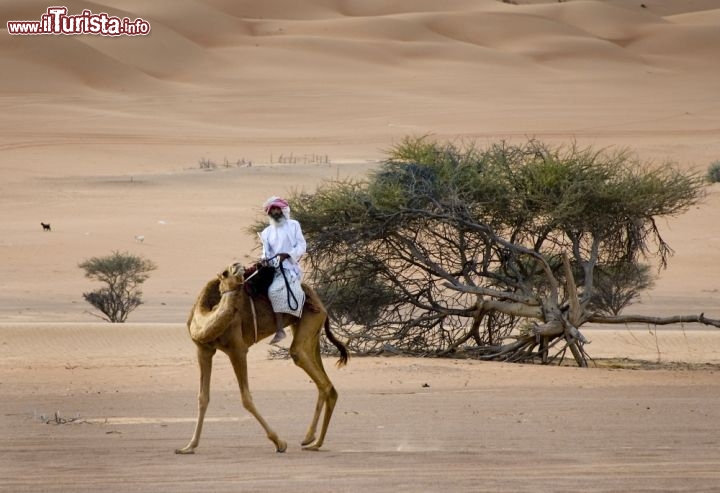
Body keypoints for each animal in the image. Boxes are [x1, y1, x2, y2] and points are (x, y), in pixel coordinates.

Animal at [176, 262, 348, 454]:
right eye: (225, 273)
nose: (238, 265)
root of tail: (320, 301)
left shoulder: (238, 349)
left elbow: (246, 399)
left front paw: (279, 443)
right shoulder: (203, 350)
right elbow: (203, 397)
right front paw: (189, 446)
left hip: (310, 319)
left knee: (311, 368)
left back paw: (313, 441)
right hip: (310, 330)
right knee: (325, 382)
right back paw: (311, 440)